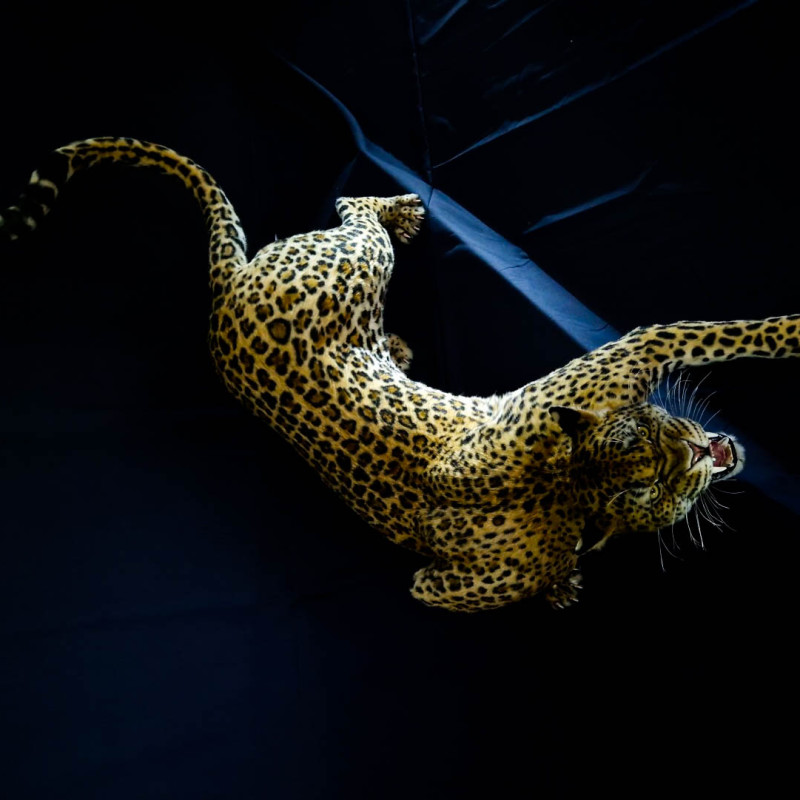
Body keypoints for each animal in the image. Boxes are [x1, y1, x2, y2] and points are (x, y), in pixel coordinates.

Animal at [2, 137, 798, 612]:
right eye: (656, 468)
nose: (697, 448)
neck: (570, 495)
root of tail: (226, 291)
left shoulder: (445, 579)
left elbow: (440, 580)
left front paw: (563, 585)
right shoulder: (618, 360)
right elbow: (696, 333)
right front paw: (790, 331)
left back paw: (399, 341)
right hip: (356, 259)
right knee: (354, 210)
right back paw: (403, 211)